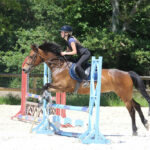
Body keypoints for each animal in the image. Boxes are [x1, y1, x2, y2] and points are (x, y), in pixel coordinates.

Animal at [22, 41, 150, 136]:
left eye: (31, 56)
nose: (24, 69)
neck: (59, 66)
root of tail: (127, 73)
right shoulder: (58, 88)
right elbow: (46, 87)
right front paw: (44, 100)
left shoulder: (63, 87)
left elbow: (46, 86)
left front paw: (42, 101)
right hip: (126, 95)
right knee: (137, 105)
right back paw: (145, 124)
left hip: (124, 95)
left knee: (131, 110)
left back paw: (134, 130)